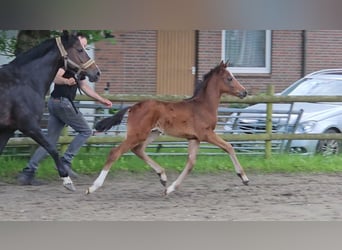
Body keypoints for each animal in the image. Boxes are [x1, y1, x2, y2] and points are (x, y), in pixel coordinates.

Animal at [0, 30, 101, 189]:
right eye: (80, 49)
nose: (96, 73)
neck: (25, 81)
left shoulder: (7, 129)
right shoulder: (29, 126)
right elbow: (51, 148)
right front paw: (67, 180)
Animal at [87, 60, 248, 195]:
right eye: (229, 78)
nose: (244, 92)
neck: (203, 106)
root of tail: (133, 107)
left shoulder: (194, 138)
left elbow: (191, 163)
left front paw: (170, 188)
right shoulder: (206, 134)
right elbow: (228, 147)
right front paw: (243, 177)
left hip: (152, 133)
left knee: (138, 149)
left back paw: (163, 177)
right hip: (138, 134)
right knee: (115, 152)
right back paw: (93, 187)